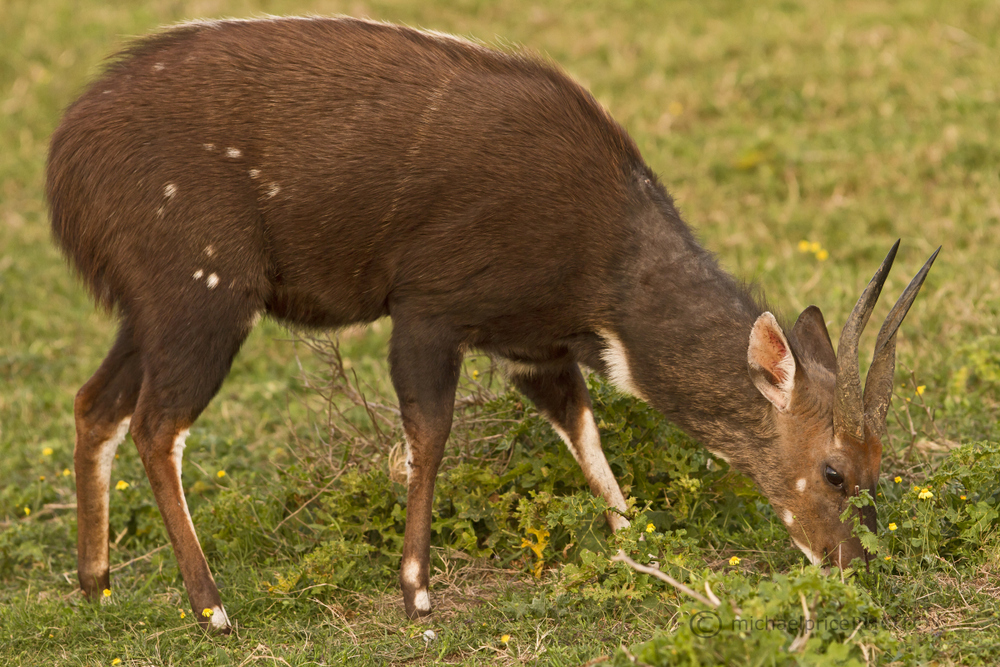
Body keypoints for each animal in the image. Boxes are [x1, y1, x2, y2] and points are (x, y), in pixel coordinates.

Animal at [47, 17, 936, 632]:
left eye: (879, 466)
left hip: (152, 309)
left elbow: (582, 429)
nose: (854, 561)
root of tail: (64, 159)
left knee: (96, 402)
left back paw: (97, 585)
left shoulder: (532, 347)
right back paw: (213, 607)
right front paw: (416, 591)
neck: (606, 251)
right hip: (205, 294)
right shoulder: (427, 313)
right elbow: (429, 437)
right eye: (833, 470)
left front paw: (635, 541)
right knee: (158, 424)